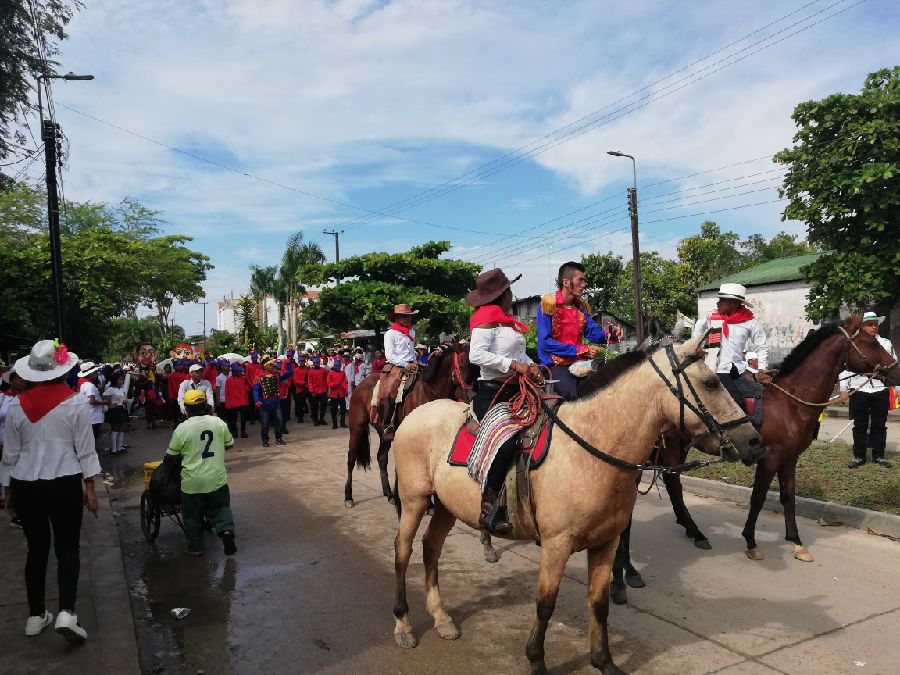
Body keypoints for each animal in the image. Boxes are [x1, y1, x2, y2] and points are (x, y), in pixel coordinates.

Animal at [342, 344, 478, 508]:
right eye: (462, 365)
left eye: (477, 367)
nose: (472, 396)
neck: (428, 392)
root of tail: (360, 384)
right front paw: (429, 505)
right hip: (357, 427)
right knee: (351, 458)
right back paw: (348, 496)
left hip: (383, 434)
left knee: (381, 457)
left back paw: (389, 494)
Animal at [390, 338, 764, 675]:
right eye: (711, 382)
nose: (755, 442)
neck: (591, 447)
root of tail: (414, 415)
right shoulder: (557, 545)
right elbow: (545, 604)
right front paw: (537, 661)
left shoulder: (606, 543)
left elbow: (599, 604)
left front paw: (604, 661)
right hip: (414, 500)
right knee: (403, 551)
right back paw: (404, 625)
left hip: (445, 507)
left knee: (431, 548)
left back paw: (442, 619)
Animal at [612, 316, 900, 608]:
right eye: (872, 342)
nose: (896, 372)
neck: (789, 404)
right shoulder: (770, 459)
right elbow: (758, 498)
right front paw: (751, 542)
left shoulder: (790, 459)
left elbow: (788, 498)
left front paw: (796, 542)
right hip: (670, 447)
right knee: (671, 485)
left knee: (673, 484)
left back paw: (694, 531)